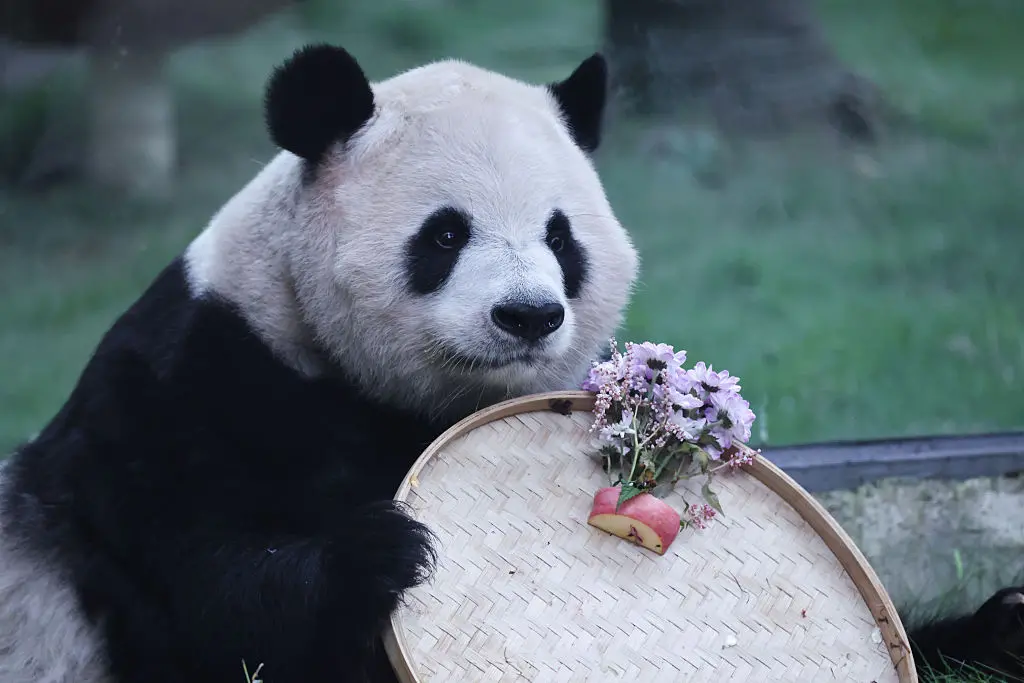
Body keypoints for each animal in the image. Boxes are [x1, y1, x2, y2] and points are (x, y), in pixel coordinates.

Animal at [0, 43, 1020, 683]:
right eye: (445, 233)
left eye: (561, 237)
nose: (528, 314)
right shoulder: (194, 390)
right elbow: (218, 598)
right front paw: (384, 551)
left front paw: (993, 625)